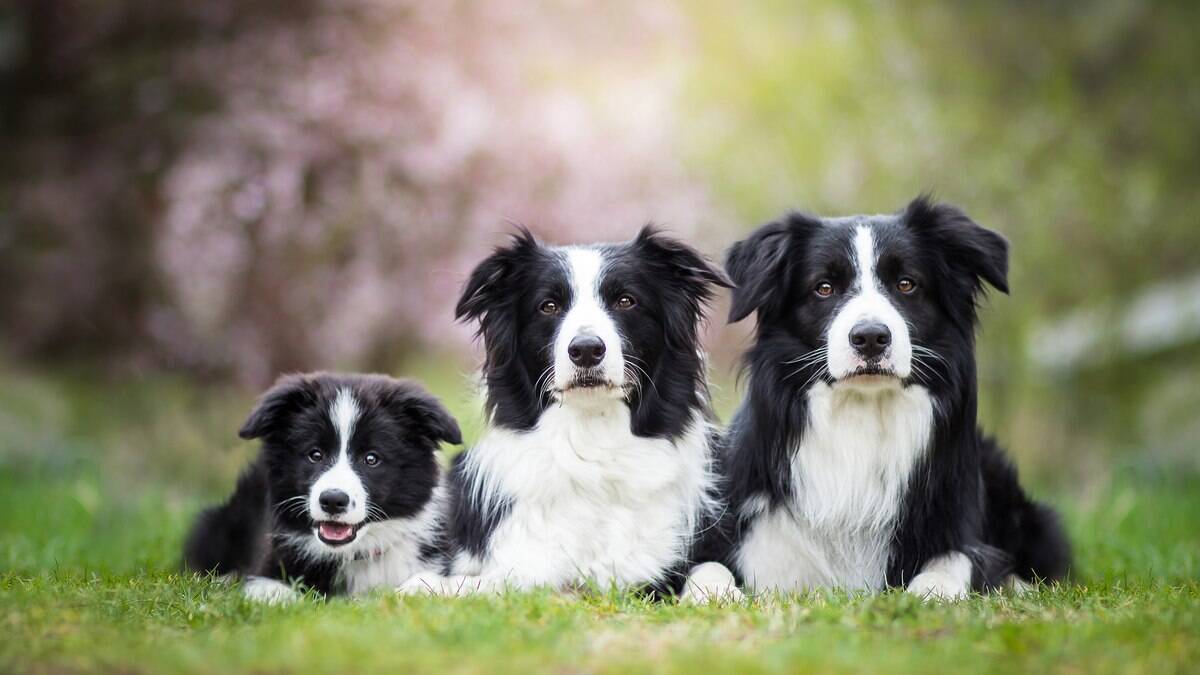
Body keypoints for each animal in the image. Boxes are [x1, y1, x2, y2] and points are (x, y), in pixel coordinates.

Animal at [184, 372, 460, 598]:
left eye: (372, 459)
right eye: (315, 454)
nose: (333, 500)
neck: (354, 553)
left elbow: (425, 581)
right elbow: (270, 589)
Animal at [400, 225, 729, 593]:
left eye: (626, 301)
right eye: (549, 306)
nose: (586, 350)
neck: (593, 438)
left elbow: (713, 569)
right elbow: (493, 580)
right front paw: (423, 584)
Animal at [700, 196, 1070, 595]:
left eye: (906, 284)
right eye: (824, 288)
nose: (870, 337)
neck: (862, 417)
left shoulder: (954, 524)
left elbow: (955, 560)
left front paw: (929, 593)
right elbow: (708, 568)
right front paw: (720, 595)